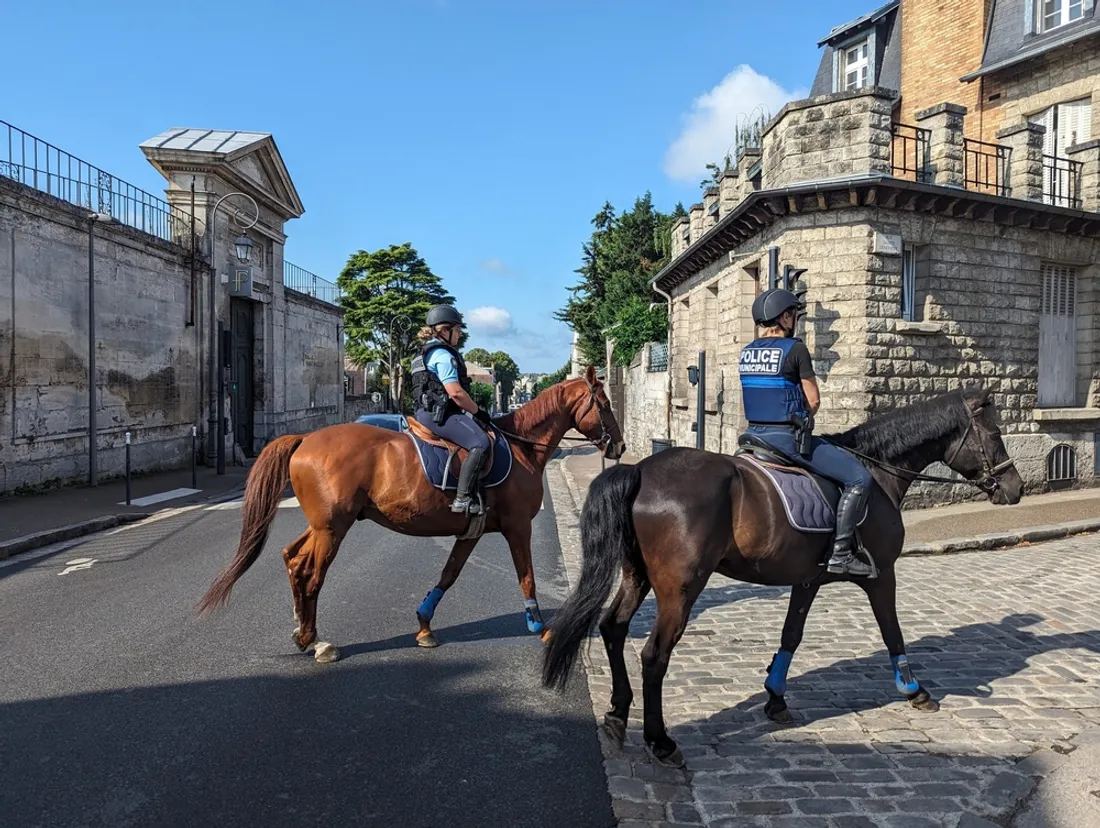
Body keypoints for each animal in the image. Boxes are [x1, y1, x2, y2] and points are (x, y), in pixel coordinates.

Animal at [198, 366, 625, 661]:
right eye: (604, 405)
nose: (619, 446)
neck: (521, 448)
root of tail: (305, 439)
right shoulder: (518, 527)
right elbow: (527, 576)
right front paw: (540, 627)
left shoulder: (471, 531)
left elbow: (449, 575)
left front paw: (423, 626)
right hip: (333, 528)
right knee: (310, 572)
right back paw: (315, 641)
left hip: (322, 525)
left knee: (291, 557)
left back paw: (302, 632)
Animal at [542, 387, 1023, 767]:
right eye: (996, 436)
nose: (1015, 489)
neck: (878, 470)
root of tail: (641, 470)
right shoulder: (882, 575)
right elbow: (893, 632)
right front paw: (914, 689)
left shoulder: (808, 580)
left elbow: (792, 634)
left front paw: (775, 697)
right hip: (680, 590)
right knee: (654, 655)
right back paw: (660, 742)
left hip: (637, 576)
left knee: (613, 628)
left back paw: (618, 714)